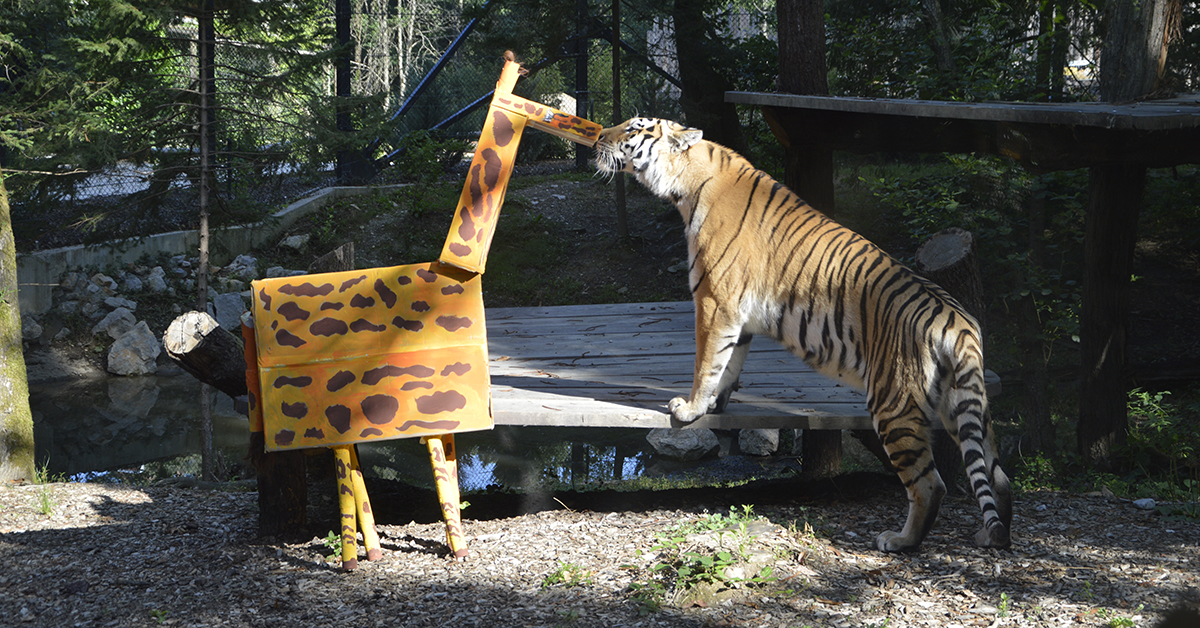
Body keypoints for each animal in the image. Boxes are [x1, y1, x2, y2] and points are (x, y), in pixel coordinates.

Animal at [593, 117, 1012, 552]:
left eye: (632, 129)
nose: (598, 135)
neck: (687, 183)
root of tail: (959, 322)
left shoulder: (713, 301)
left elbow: (706, 361)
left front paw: (689, 408)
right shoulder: (737, 316)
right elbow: (729, 363)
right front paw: (716, 405)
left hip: (893, 403)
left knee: (930, 485)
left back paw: (900, 540)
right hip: (963, 405)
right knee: (998, 476)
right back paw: (989, 532)